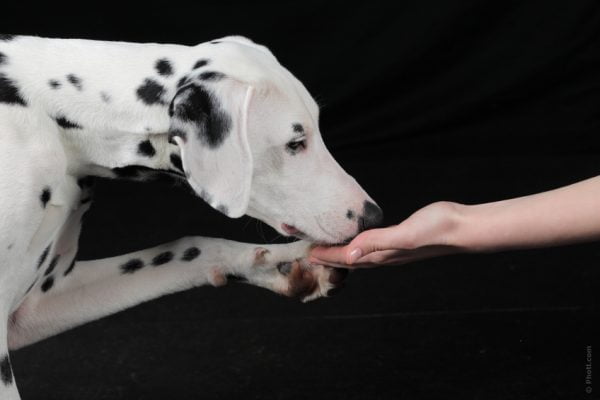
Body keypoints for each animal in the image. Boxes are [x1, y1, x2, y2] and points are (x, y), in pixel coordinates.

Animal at [0, 33, 382, 396]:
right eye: (295, 143)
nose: (374, 217)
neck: (49, 119)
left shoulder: (40, 302)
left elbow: (195, 245)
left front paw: (284, 262)